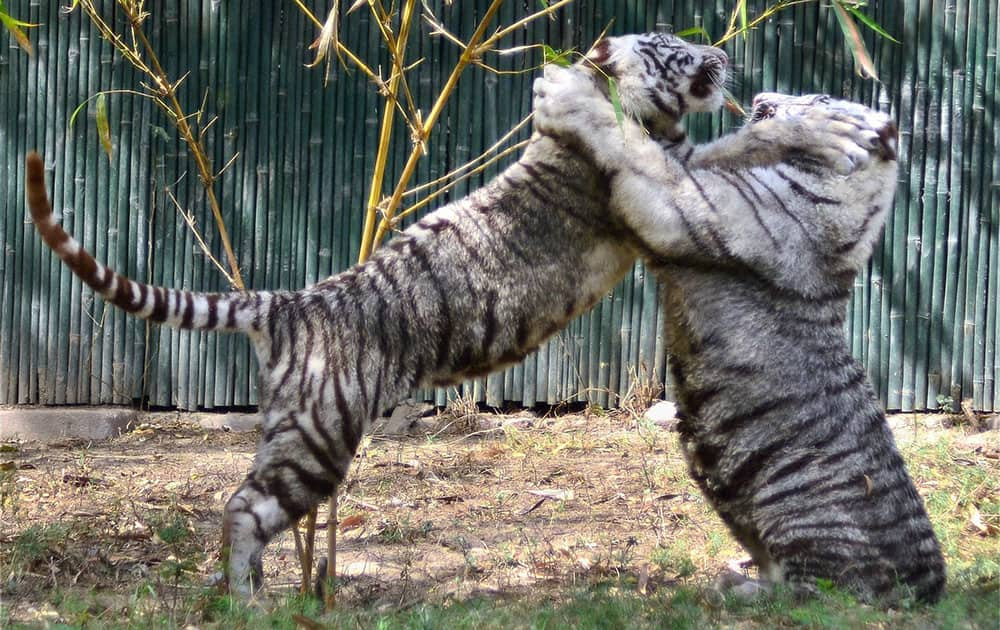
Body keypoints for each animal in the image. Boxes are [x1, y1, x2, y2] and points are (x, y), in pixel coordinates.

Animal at [25, 33, 876, 596]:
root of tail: (294, 299)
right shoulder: (661, 180)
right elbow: (726, 150)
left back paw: (256, 590)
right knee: (241, 507)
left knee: (244, 502)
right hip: (316, 437)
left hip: (290, 424)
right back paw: (246, 599)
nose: (721, 53)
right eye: (671, 47)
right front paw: (819, 123)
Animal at [532, 66, 944, 604]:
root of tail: (931, 582)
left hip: (799, 511)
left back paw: (735, 587)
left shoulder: (687, 203)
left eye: (820, 96)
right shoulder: (701, 170)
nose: (763, 96)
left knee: (816, 591)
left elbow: (631, 147)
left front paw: (565, 94)